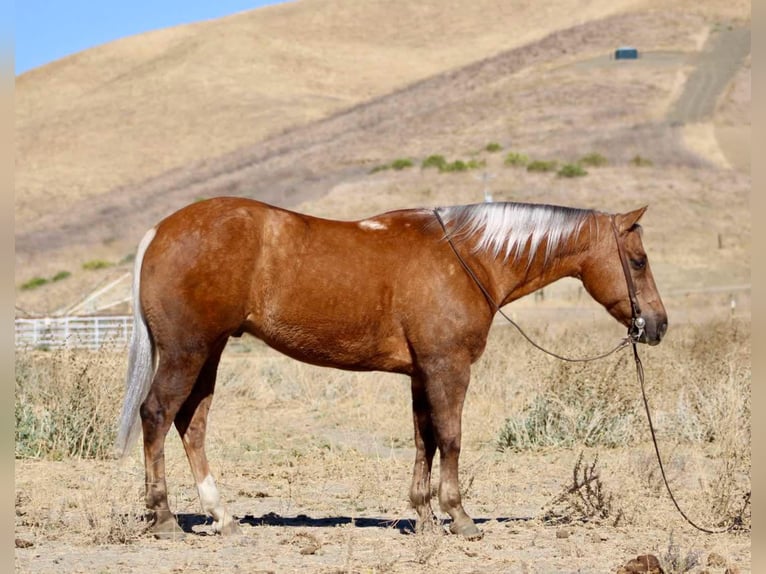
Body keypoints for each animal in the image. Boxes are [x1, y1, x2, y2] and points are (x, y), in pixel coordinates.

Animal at [114, 198, 664, 540]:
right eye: (638, 261)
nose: (656, 325)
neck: (467, 259)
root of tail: (160, 231)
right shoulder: (448, 368)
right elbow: (451, 438)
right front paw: (459, 516)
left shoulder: (422, 373)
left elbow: (426, 439)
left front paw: (424, 515)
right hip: (188, 351)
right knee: (158, 415)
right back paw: (164, 517)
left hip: (208, 352)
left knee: (192, 423)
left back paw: (223, 517)